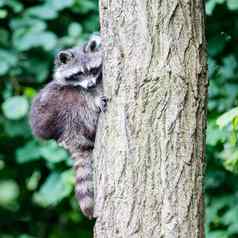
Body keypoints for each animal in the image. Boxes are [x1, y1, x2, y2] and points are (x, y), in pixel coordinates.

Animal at [30, 34, 106, 218]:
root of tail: (70, 135)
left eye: (92, 69)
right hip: (63, 116)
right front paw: (94, 98)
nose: (91, 84)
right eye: (78, 74)